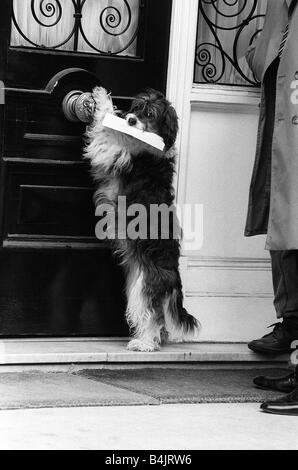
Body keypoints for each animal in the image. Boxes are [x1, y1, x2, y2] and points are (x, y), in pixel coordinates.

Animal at [84, 86, 200, 350]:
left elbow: (106, 133)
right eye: (136, 108)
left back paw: (144, 343)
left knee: (153, 316)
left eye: (150, 114)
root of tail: (175, 278)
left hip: (144, 286)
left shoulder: (116, 154)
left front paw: (102, 99)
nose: (130, 120)